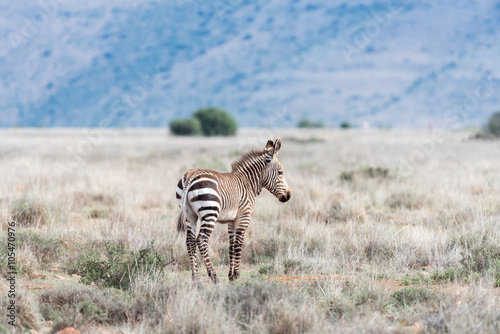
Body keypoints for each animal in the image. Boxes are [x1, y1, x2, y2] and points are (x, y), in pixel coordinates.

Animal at [177, 138, 292, 282]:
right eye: (280, 172)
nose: (288, 196)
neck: (248, 183)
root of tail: (191, 175)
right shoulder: (244, 217)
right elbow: (238, 244)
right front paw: (237, 275)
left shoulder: (231, 220)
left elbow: (231, 245)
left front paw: (231, 275)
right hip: (210, 213)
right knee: (201, 240)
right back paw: (213, 276)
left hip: (190, 214)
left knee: (190, 241)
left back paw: (196, 278)